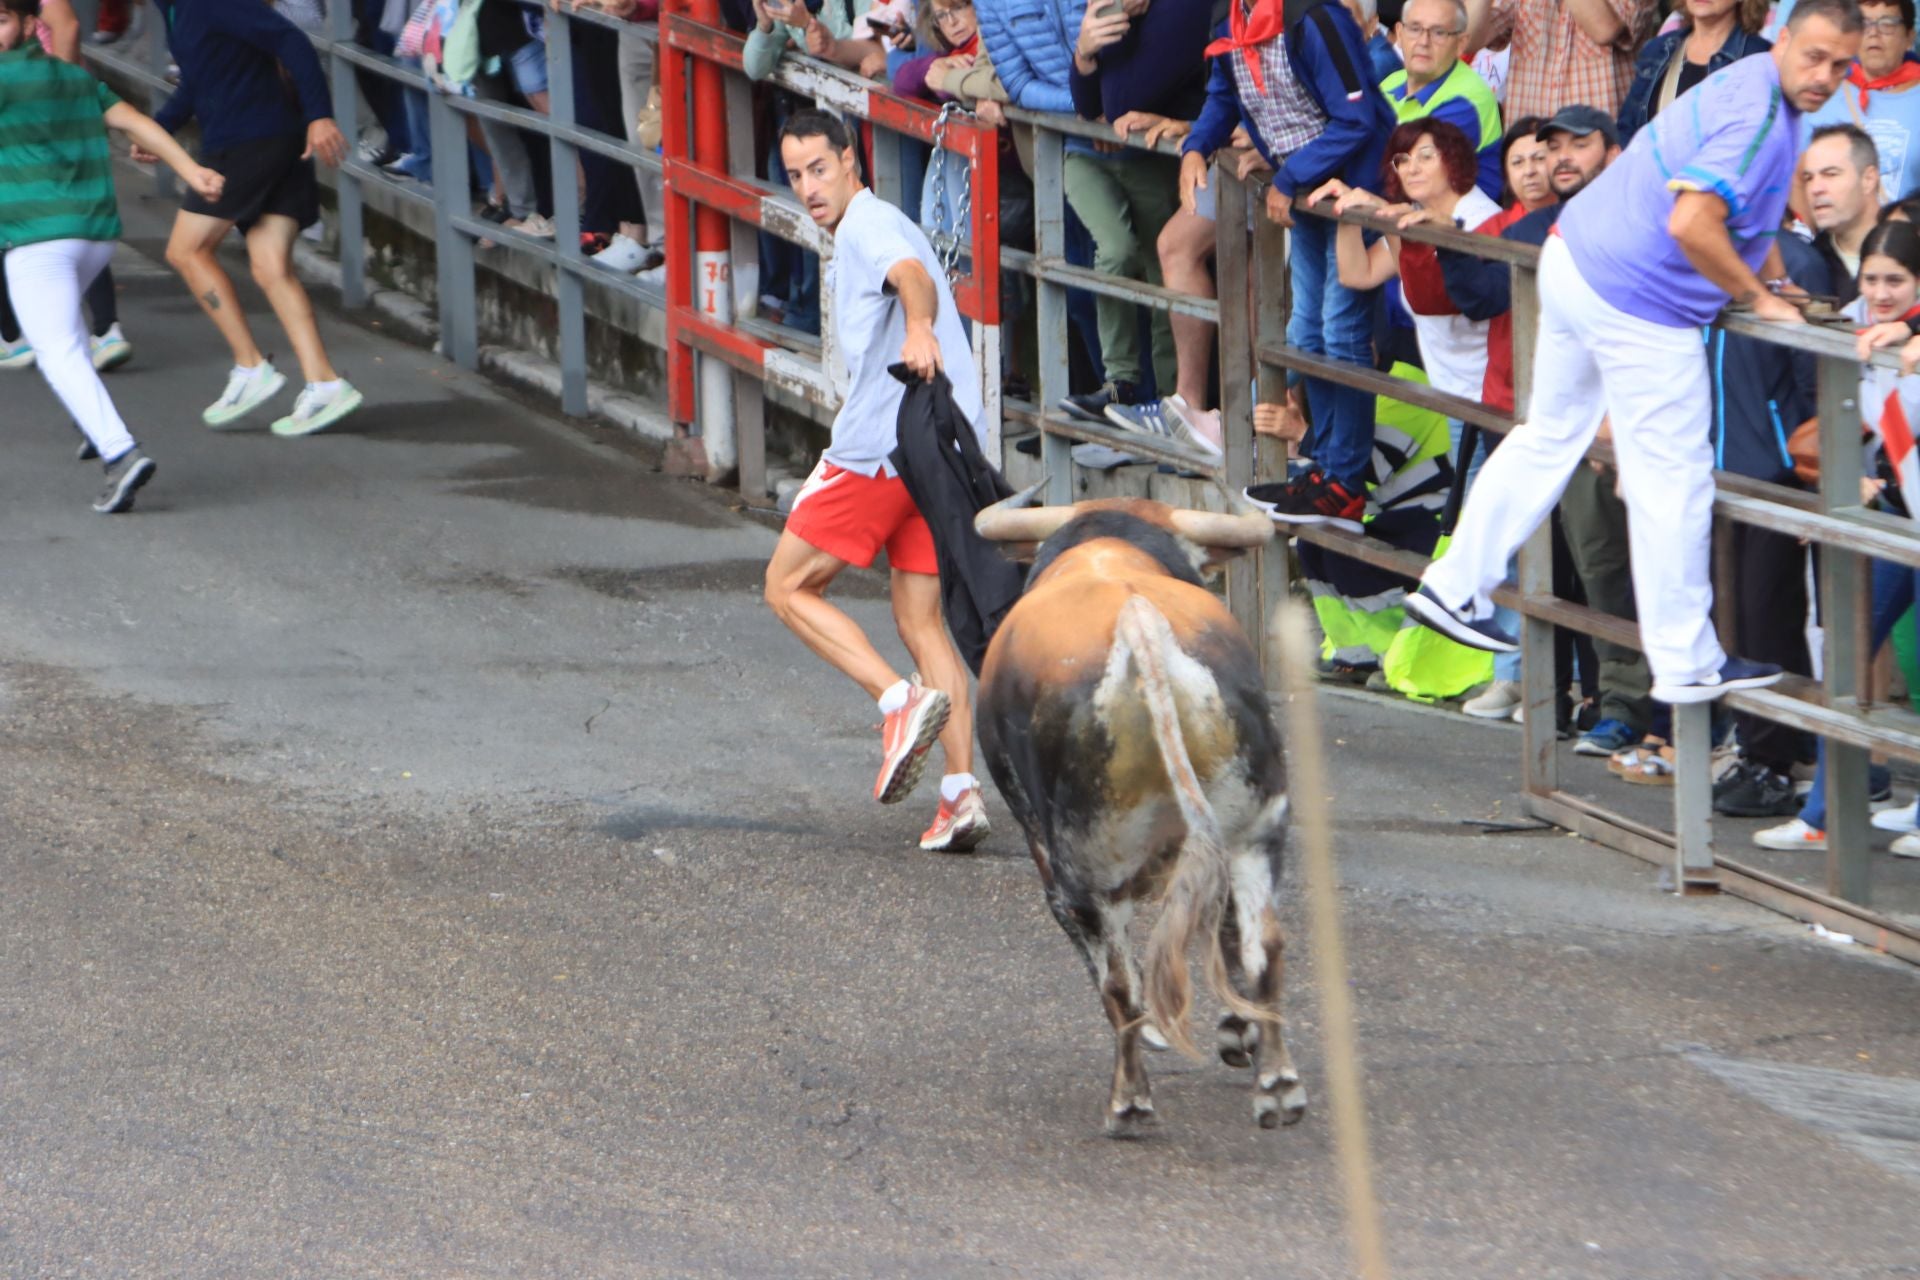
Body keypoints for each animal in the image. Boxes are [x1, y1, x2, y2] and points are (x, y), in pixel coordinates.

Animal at [975, 495, 1305, 1143]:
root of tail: (1139, 623)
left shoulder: (1047, 855)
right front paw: (1238, 1031)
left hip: (1088, 863)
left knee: (1121, 981)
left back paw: (1129, 1103)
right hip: (1254, 832)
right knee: (1262, 943)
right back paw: (1278, 1086)